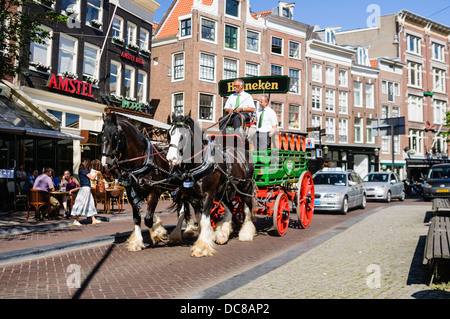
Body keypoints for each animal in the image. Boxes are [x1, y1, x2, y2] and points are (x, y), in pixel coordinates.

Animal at [100, 112, 195, 252]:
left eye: (115, 136)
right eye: (101, 135)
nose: (106, 163)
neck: (141, 160)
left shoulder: (154, 191)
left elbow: (148, 219)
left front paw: (157, 235)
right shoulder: (131, 193)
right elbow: (137, 218)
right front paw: (138, 242)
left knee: (185, 209)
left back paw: (183, 231)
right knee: (184, 209)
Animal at [166, 112, 256, 258]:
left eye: (182, 136)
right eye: (168, 134)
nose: (171, 159)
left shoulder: (208, 195)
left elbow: (204, 219)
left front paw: (201, 247)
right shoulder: (193, 197)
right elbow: (200, 219)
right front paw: (206, 239)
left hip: (245, 188)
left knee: (247, 208)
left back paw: (246, 234)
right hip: (223, 191)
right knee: (230, 208)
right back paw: (223, 235)